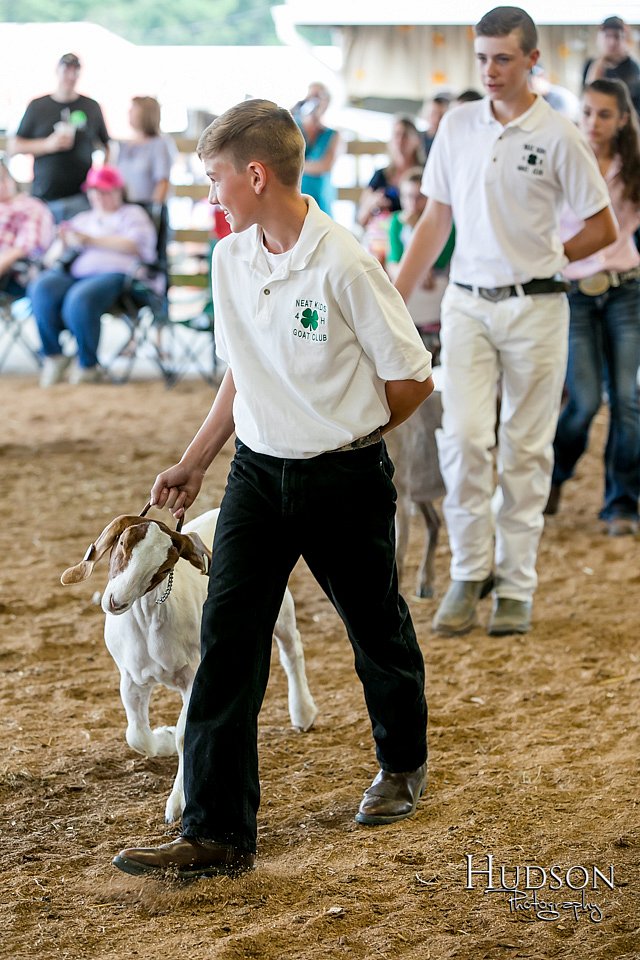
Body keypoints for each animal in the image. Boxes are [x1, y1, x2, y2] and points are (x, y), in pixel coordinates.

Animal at [62, 506, 318, 820]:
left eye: (162, 570)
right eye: (123, 543)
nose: (116, 601)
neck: (149, 621)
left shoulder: (193, 677)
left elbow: (186, 734)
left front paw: (177, 802)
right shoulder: (131, 677)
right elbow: (137, 735)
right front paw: (163, 738)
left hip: (280, 608)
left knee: (292, 648)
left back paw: (303, 712)